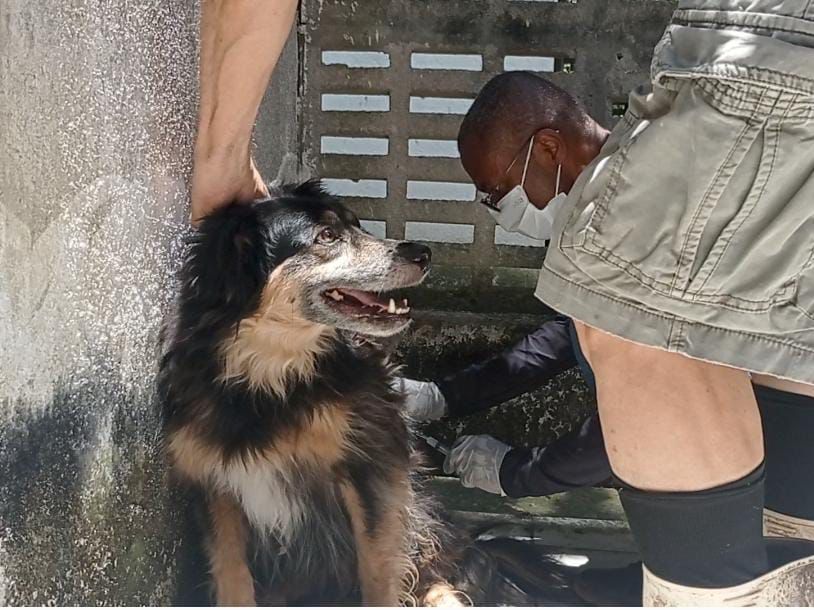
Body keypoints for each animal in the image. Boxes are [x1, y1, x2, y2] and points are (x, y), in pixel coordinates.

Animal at [159, 179, 536, 604]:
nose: (424, 253)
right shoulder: (215, 483)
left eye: (357, 225)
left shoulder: (371, 467)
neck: (271, 379)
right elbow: (231, 575)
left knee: (438, 572)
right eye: (326, 236)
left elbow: (379, 568)